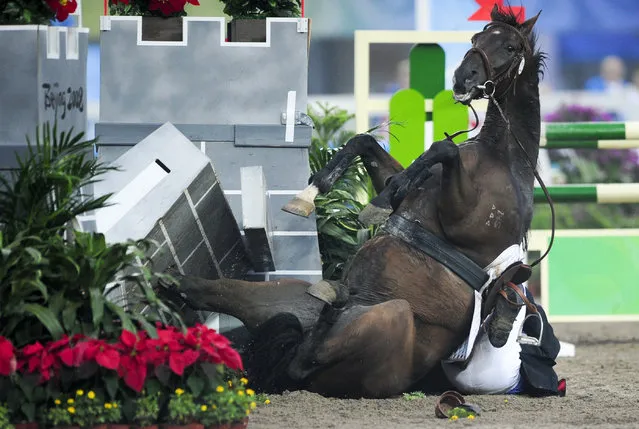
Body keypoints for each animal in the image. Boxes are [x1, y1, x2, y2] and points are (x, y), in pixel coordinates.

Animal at [162, 5, 548, 398]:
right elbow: (367, 144)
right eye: (477, 38)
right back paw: (166, 281)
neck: (502, 157)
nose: (463, 77)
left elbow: (444, 148)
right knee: (211, 295)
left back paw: (330, 308)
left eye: (510, 46)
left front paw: (375, 200)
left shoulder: (469, 224)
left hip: (393, 316)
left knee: (301, 365)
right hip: (283, 296)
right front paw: (317, 194)